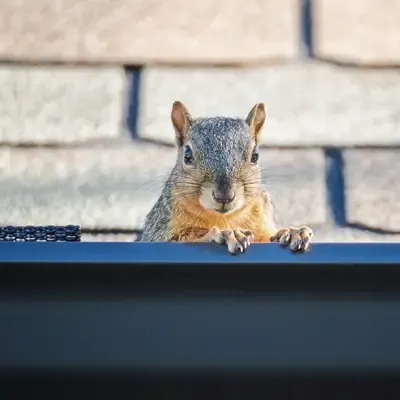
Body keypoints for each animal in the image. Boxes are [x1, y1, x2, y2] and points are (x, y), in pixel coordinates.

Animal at [140, 101, 312, 255]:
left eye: (255, 156)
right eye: (187, 155)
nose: (224, 196)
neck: (224, 218)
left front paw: (291, 232)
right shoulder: (160, 230)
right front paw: (225, 234)